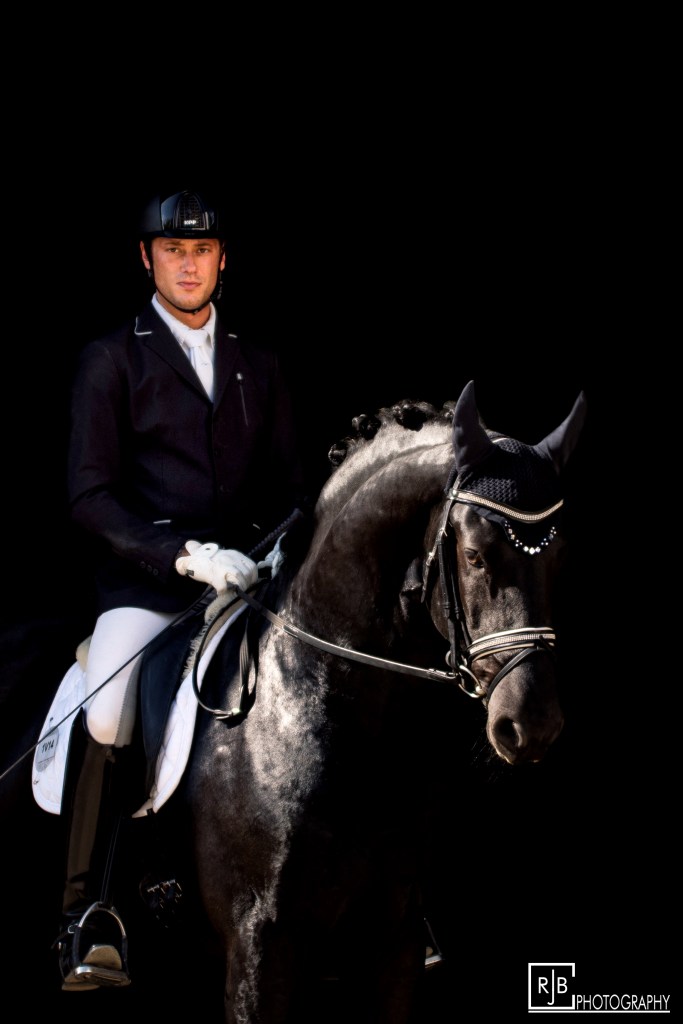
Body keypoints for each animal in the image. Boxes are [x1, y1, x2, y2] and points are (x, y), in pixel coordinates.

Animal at [0, 379, 586, 1023]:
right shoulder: (261, 946)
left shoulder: (394, 943)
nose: (532, 723)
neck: (343, 717)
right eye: (477, 556)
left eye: (559, 558)